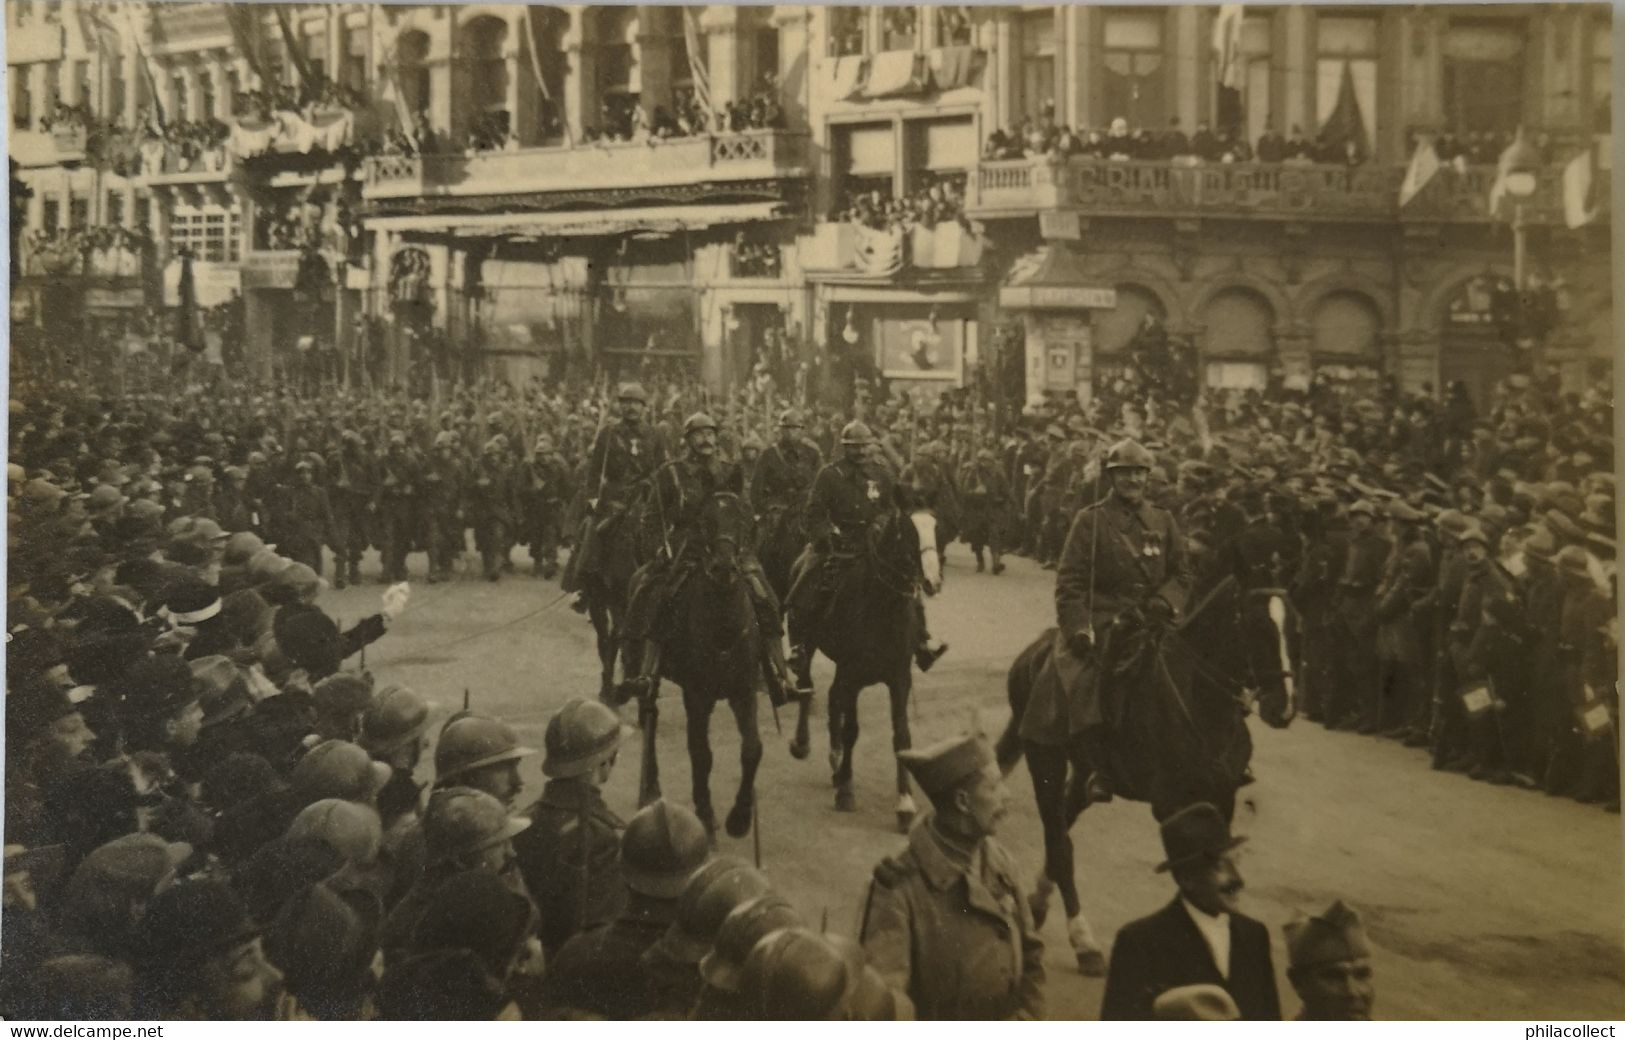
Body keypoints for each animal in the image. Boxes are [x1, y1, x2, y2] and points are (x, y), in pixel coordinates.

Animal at [633, 490, 760, 838]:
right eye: (704, 521)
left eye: (743, 517)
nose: (724, 568)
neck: (723, 629)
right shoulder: (697, 696)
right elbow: (701, 754)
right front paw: (705, 812)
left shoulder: (744, 692)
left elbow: (752, 749)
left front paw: (740, 817)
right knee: (650, 714)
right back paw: (651, 788)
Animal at [786, 507, 942, 832]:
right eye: (908, 531)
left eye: (937, 527)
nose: (933, 581)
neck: (882, 607)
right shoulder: (852, 674)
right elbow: (851, 730)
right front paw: (845, 791)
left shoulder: (899, 679)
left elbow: (902, 736)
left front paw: (905, 803)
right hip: (807, 643)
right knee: (807, 687)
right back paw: (803, 744)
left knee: (832, 698)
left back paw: (834, 759)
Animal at [994, 565, 1300, 968]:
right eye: (1256, 626)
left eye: (1294, 627)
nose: (1284, 708)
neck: (1200, 699)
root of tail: (1035, 651)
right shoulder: (1170, 804)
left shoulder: (1223, 798)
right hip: (1046, 760)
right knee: (1059, 842)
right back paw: (1083, 939)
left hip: (1083, 772)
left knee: (1062, 823)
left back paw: (1039, 902)